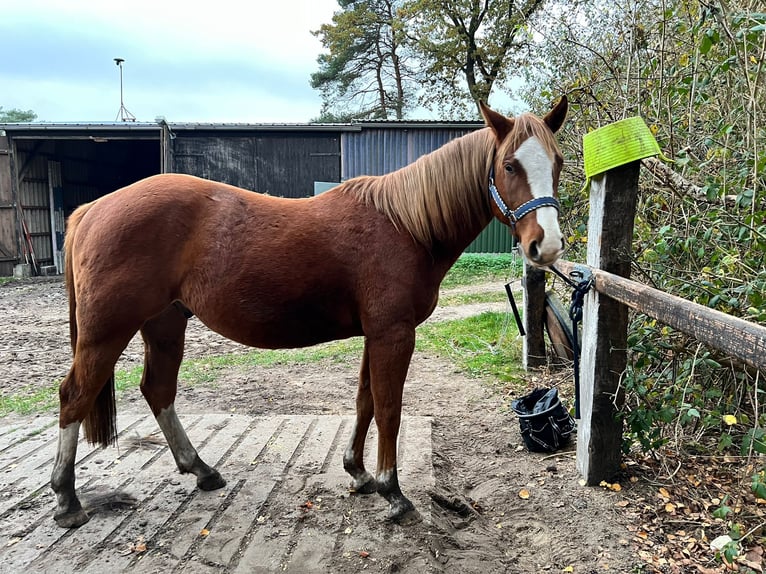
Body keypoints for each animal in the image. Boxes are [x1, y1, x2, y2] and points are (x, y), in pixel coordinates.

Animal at [51, 97, 568, 528]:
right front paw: (393, 492)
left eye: (559, 162)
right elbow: (390, 408)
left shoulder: (375, 334)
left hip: (165, 323)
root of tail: (93, 208)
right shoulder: (393, 334)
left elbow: (365, 402)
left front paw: (358, 473)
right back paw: (67, 500)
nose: (546, 246)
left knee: (158, 390)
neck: (404, 225)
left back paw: (201, 470)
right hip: (106, 332)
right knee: (75, 396)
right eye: (508, 165)